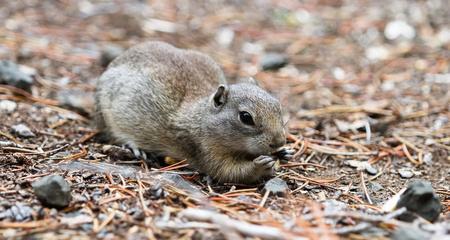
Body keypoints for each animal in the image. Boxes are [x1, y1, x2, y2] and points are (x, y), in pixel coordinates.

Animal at [95, 41, 292, 184]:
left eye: (278, 106)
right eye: (246, 117)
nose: (279, 142)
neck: (203, 118)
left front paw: (284, 152)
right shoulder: (206, 152)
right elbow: (229, 172)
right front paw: (261, 166)